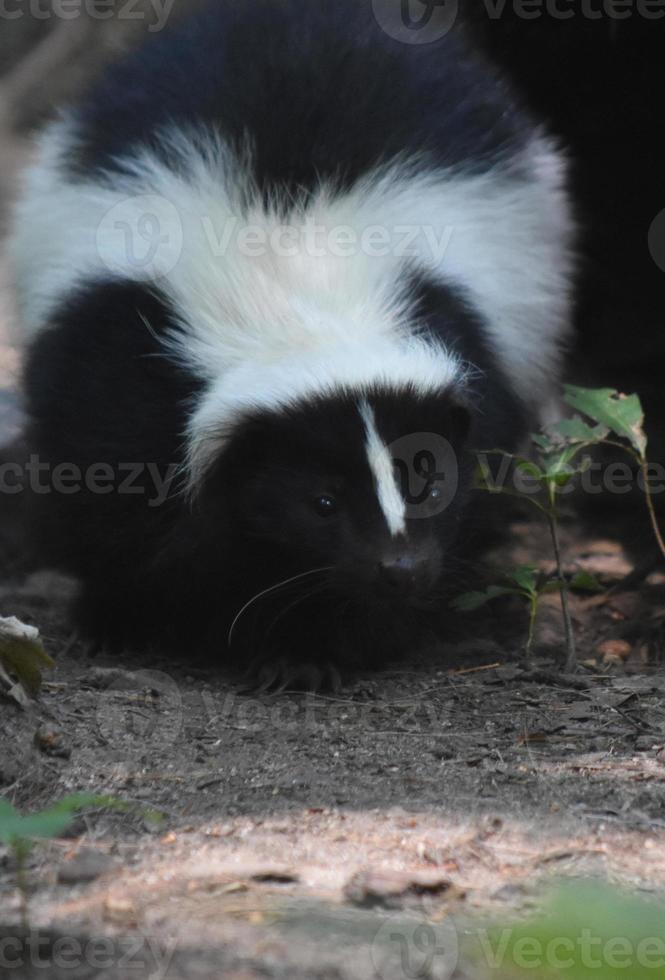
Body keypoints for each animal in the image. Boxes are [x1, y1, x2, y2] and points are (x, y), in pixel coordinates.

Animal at [7, 0, 572, 688]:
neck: (296, 294)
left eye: (428, 481)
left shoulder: (470, 338)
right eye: (321, 501)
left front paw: (311, 651)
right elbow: (112, 498)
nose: (402, 568)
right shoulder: (116, 351)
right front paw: (129, 617)